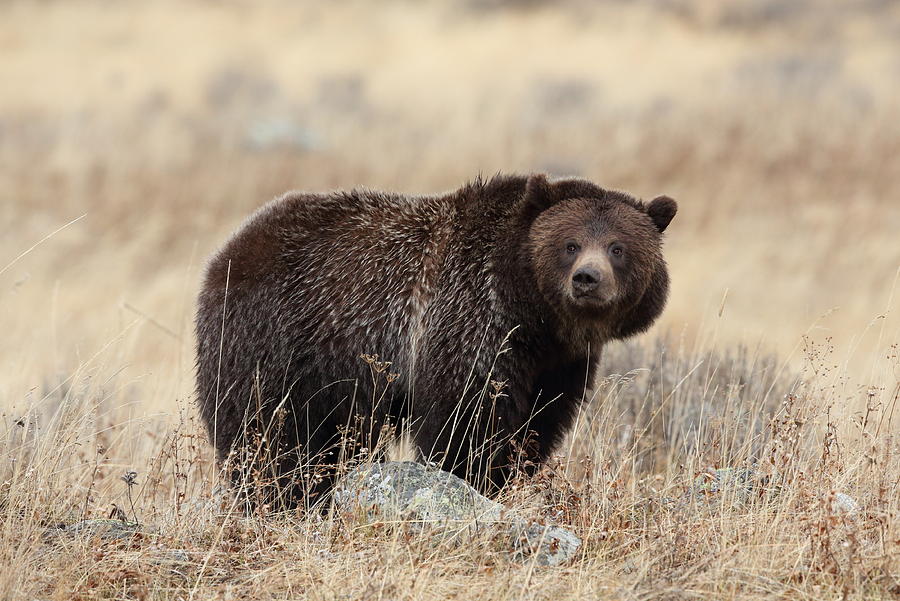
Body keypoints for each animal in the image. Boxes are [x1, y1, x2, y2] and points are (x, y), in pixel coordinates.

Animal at [195, 172, 676, 506]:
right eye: (570, 244)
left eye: (618, 247)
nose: (587, 279)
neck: (535, 317)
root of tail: (230, 247)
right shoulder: (469, 321)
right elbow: (464, 420)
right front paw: (468, 478)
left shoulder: (556, 365)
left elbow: (534, 425)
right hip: (277, 340)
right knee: (268, 433)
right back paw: (279, 496)